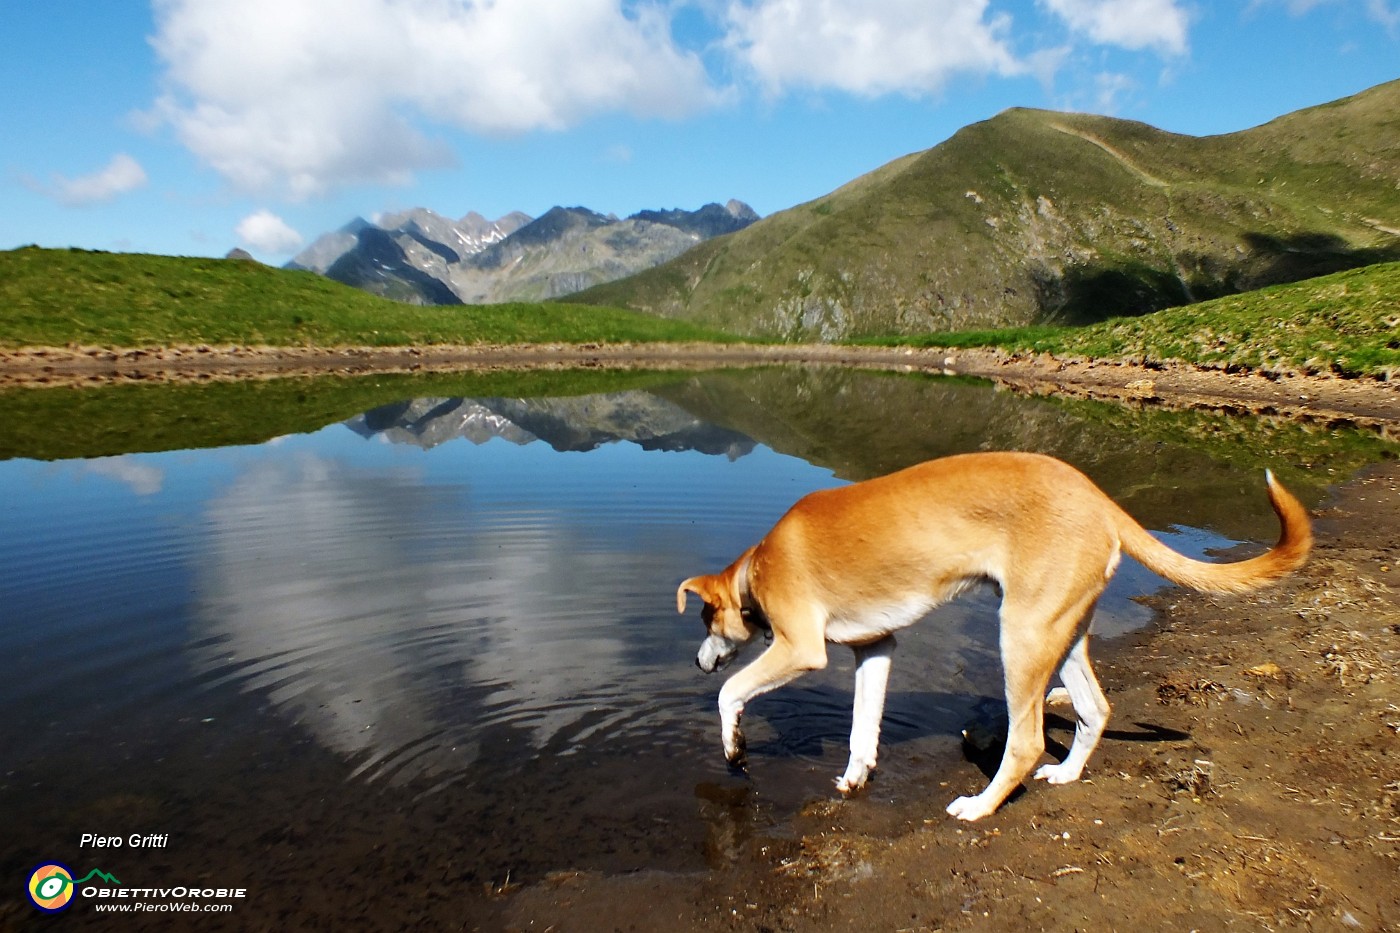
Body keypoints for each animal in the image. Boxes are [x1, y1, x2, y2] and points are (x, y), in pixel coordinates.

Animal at [677, 451, 1310, 823]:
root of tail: (1100, 500)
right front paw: (856, 777)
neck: (756, 568)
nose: (698, 660)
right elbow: (862, 729)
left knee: (1026, 741)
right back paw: (1067, 773)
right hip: (1062, 630)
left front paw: (734, 748)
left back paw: (981, 806)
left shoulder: (800, 650)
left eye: (704, 621)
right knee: (1094, 709)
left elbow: (730, 694)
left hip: (1023, 635)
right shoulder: (876, 649)